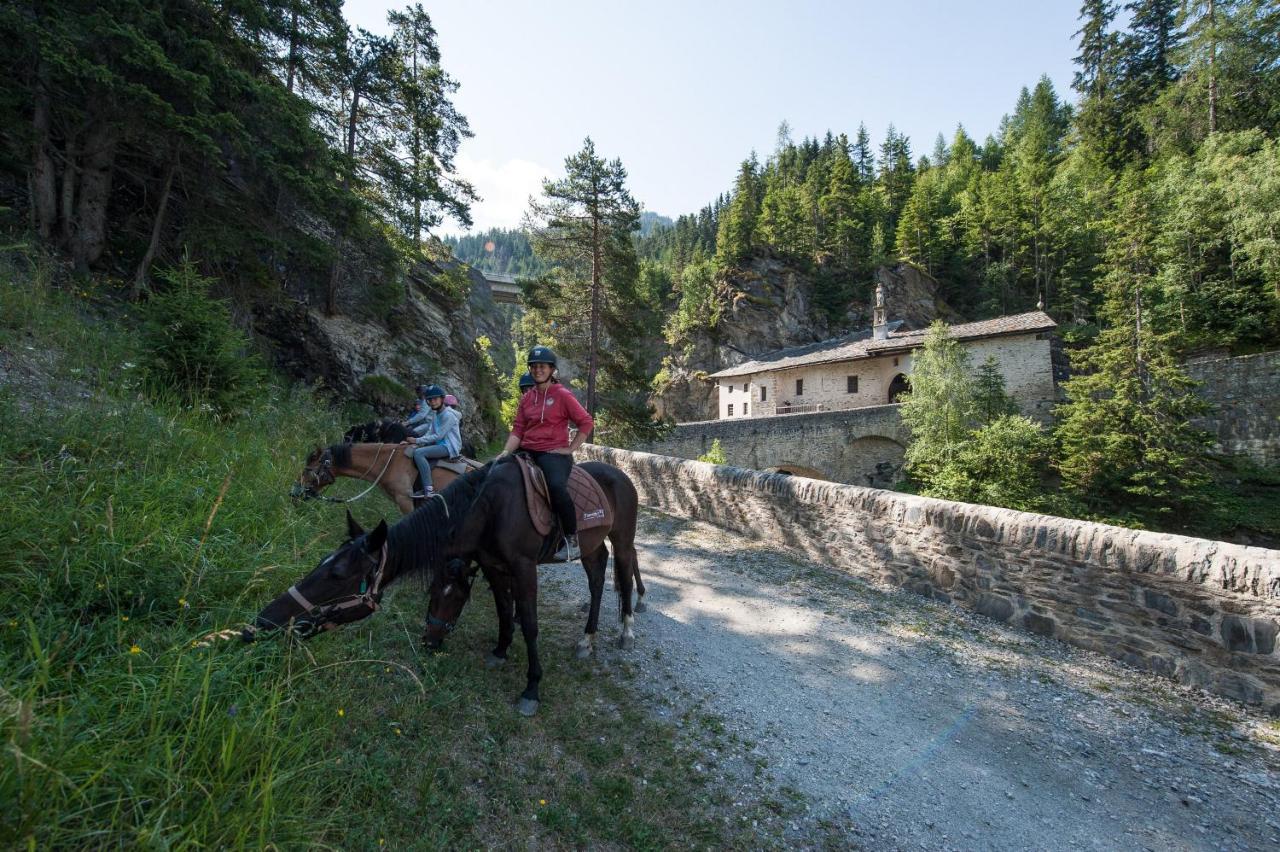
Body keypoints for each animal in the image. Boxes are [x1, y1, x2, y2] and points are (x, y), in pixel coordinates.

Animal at [419, 455, 640, 711]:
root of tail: (621, 476)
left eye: (456, 597)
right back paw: (586, 640)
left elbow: (529, 625)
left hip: (622, 540)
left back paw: (627, 633)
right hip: (591, 545)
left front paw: (532, 688)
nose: (430, 642)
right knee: (596, 581)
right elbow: (504, 611)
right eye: (432, 592)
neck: (496, 508)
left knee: (626, 579)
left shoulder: (524, 569)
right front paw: (500, 651)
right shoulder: (494, 567)